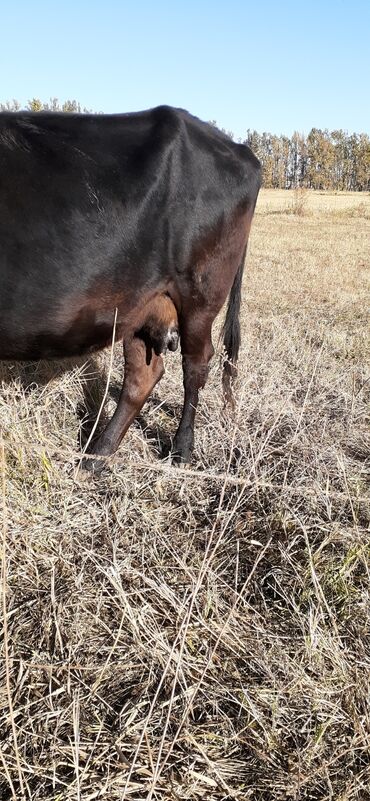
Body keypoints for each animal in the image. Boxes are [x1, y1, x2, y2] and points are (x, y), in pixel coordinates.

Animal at [0, 106, 260, 468]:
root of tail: (238, 148)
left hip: (201, 295)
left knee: (196, 364)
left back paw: (181, 450)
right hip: (141, 302)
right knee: (143, 374)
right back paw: (96, 457)